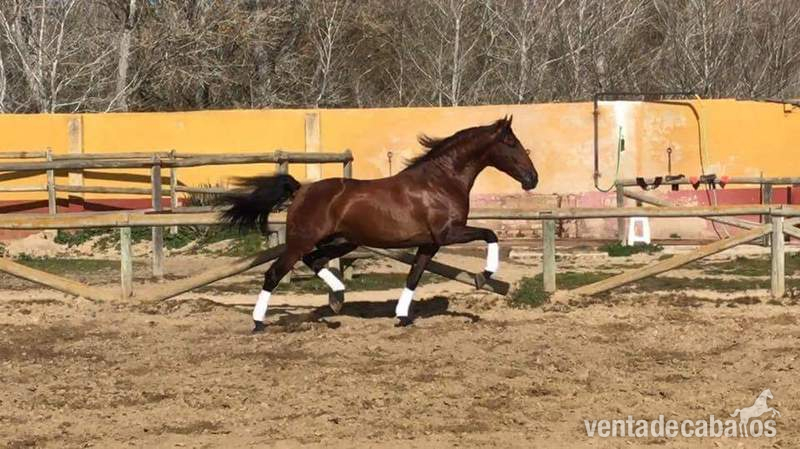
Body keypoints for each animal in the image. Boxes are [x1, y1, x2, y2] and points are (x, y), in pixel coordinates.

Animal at [219, 116, 538, 332]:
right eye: (511, 143)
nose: (532, 179)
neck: (440, 182)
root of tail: (300, 190)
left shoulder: (430, 244)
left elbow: (413, 277)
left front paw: (402, 316)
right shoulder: (448, 233)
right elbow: (490, 233)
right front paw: (484, 276)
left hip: (343, 242)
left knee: (315, 261)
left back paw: (338, 294)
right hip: (301, 242)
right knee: (274, 273)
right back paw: (259, 323)